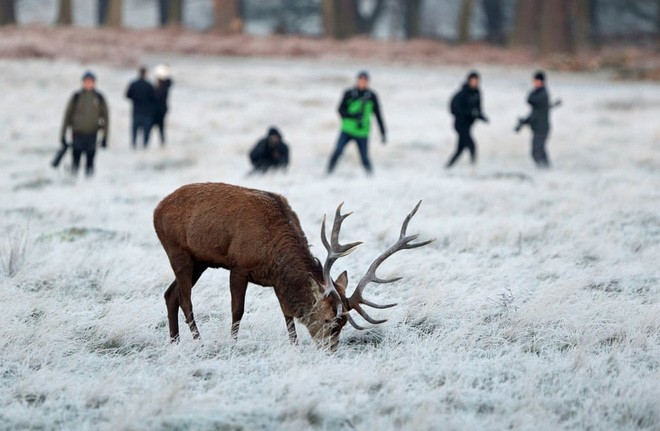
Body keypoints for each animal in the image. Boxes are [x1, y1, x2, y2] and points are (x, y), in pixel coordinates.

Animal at [153, 182, 434, 352]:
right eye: (328, 320)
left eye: (343, 325)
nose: (330, 351)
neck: (272, 253)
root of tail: (157, 209)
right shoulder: (239, 265)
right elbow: (237, 311)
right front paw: (233, 344)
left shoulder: (277, 280)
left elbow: (287, 315)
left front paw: (294, 346)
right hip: (177, 250)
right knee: (186, 298)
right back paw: (197, 340)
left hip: (199, 261)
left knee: (170, 294)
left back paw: (174, 341)